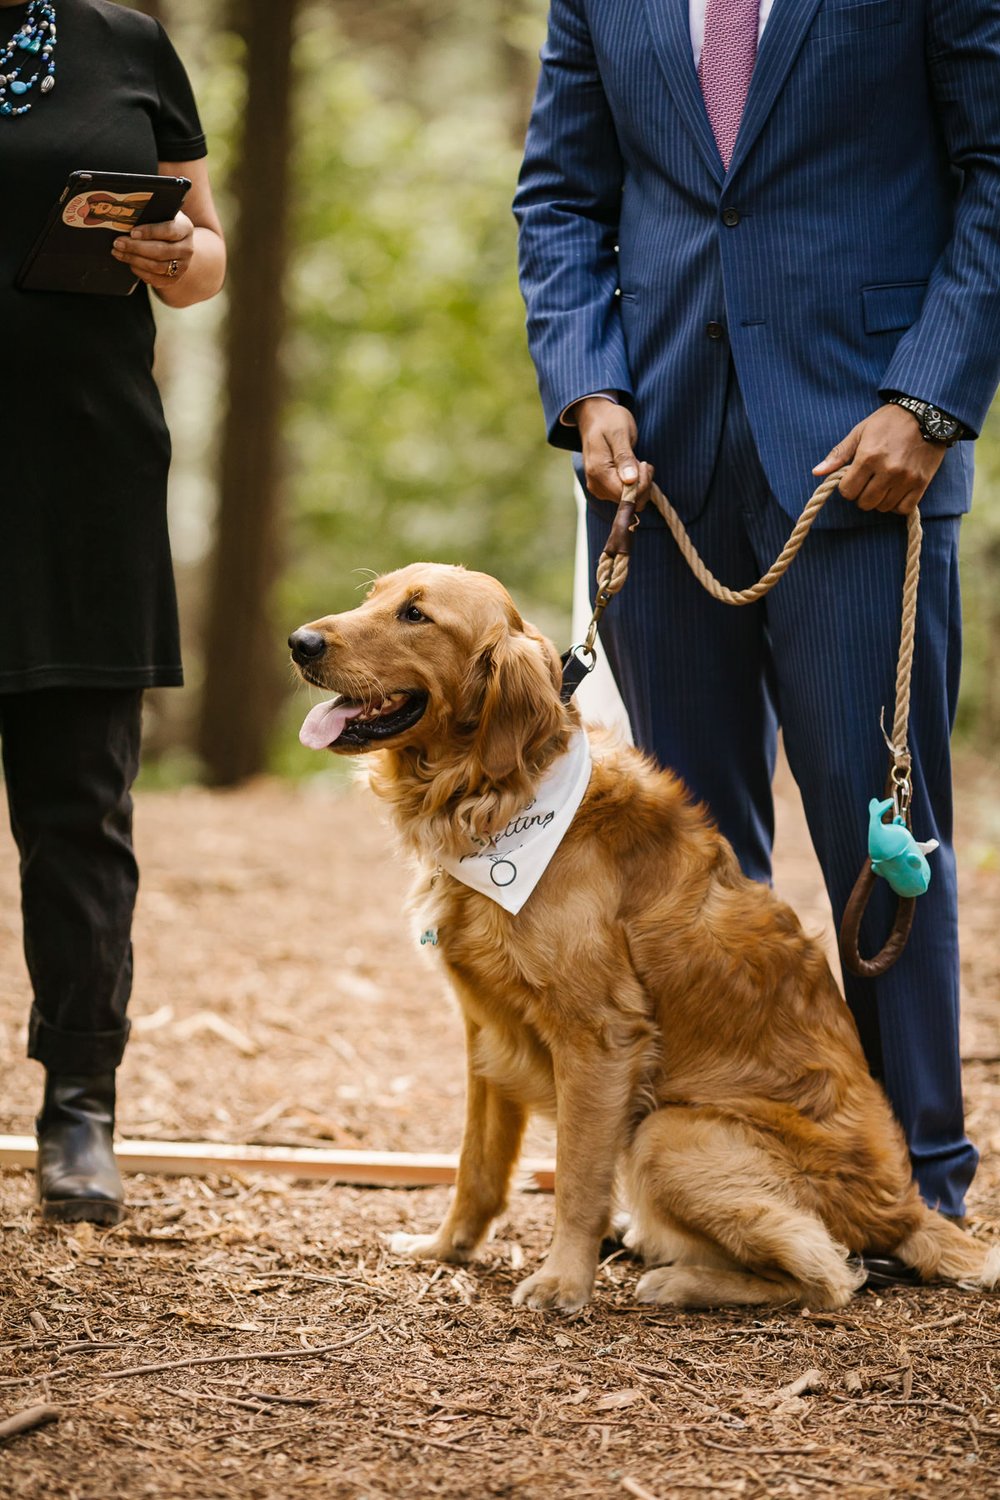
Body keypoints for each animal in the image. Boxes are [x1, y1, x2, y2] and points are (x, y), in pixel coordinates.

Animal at [289, 564, 1000, 1314]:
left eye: (416, 616)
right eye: (373, 597)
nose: (299, 642)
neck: (499, 795)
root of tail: (910, 1209)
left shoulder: (599, 1038)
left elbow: (576, 1176)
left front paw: (563, 1280)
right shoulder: (486, 1027)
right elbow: (477, 1166)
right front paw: (444, 1249)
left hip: (668, 1132)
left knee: (829, 1276)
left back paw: (679, 1280)